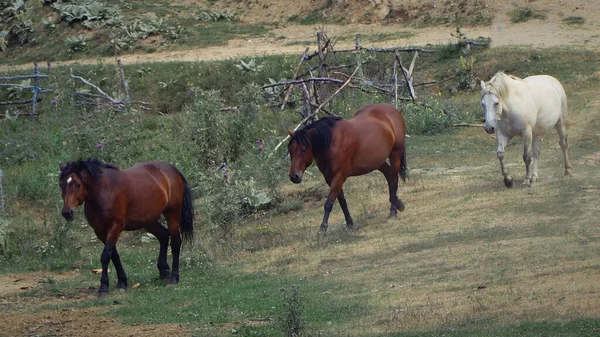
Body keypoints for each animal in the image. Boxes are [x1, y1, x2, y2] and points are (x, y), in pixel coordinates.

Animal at [59, 159, 193, 294]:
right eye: (61, 185)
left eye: (78, 184)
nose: (67, 213)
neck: (104, 191)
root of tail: (172, 169)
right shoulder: (100, 231)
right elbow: (114, 255)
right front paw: (122, 282)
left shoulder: (115, 227)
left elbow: (105, 256)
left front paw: (103, 287)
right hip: (148, 221)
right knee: (164, 236)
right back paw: (164, 272)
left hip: (172, 215)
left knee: (175, 243)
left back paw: (174, 278)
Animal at [286, 103, 408, 232]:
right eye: (290, 150)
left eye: (303, 150)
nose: (294, 176)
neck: (332, 142)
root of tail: (393, 110)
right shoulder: (329, 178)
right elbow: (342, 201)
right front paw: (349, 223)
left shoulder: (339, 176)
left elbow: (329, 203)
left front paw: (322, 228)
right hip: (377, 161)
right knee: (390, 176)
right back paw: (398, 204)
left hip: (395, 154)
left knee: (393, 180)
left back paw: (393, 211)